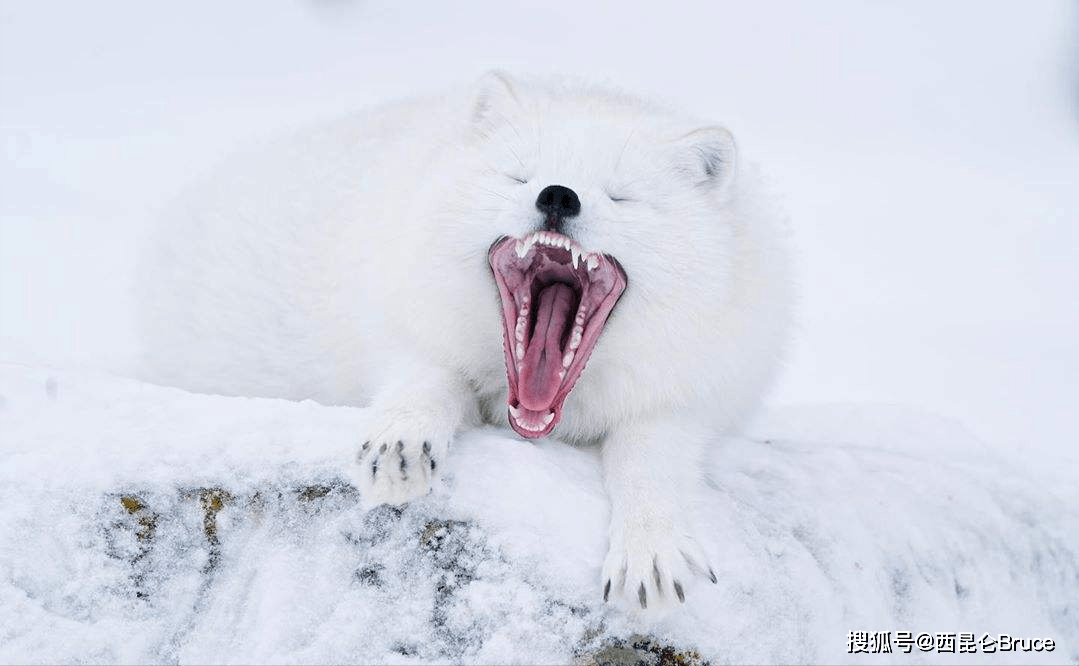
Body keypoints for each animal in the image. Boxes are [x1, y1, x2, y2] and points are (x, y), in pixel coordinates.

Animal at [137, 72, 794, 613]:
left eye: (621, 195)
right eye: (519, 175)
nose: (558, 194)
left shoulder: (691, 393)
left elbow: (651, 458)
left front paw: (651, 549)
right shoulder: (409, 324)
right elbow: (426, 379)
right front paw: (399, 445)